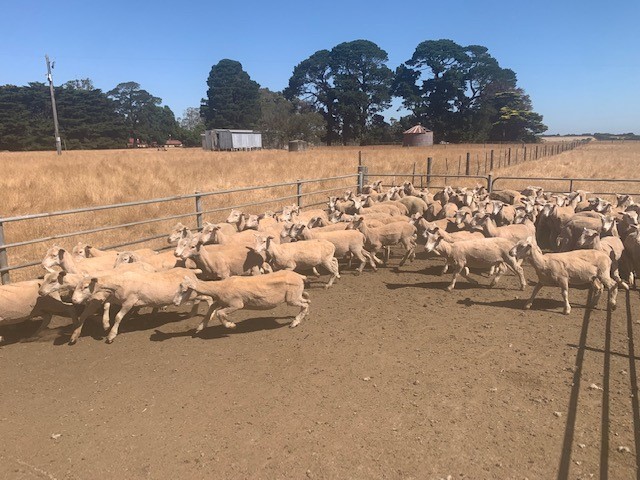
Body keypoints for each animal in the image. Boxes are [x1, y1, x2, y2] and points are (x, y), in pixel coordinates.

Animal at [71, 267, 209, 344]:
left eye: (85, 287)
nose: (73, 300)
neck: (119, 282)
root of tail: (190, 271)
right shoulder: (115, 298)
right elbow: (106, 305)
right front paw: (105, 324)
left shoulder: (129, 302)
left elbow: (118, 317)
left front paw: (111, 335)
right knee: (202, 298)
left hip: (191, 294)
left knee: (206, 298)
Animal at [173, 271, 310, 332]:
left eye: (184, 290)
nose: (174, 302)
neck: (220, 287)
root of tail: (299, 275)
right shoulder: (221, 301)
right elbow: (211, 309)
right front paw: (201, 326)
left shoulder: (236, 304)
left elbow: (219, 313)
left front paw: (230, 325)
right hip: (295, 295)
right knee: (307, 301)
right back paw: (304, 315)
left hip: (291, 298)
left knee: (304, 304)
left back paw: (295, 322)